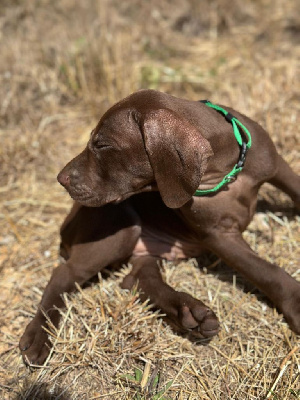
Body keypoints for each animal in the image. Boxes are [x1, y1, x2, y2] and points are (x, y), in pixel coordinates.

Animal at [19, 89, 300, 364]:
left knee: (138, 279)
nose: (61, 179)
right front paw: (296, 302)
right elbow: (266, 271)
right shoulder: (218, 236)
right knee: (63, 274)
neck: (226, 172)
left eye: (102, 144)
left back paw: (189, 313)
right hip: (123, 228)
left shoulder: (279, 169)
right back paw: (40, 335)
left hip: (146, 250)